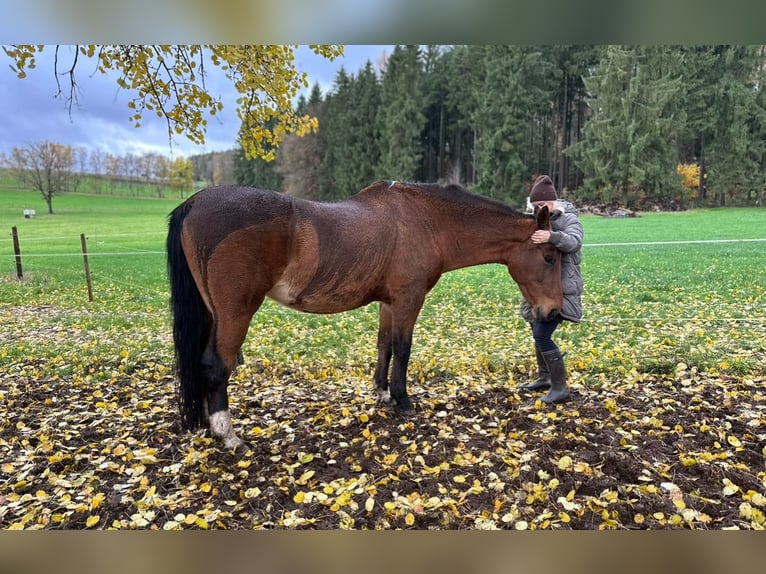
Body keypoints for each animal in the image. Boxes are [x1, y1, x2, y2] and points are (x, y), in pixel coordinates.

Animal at [168, 180, 564, 450]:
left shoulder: (389, 303)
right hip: (236, 312)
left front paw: (383, 394)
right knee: (216, 365)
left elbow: (384, 346)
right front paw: (403, 401)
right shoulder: (408, 299)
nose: (553, 310)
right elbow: (403, 349)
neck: (428, 222)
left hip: (213, 313)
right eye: (549, 257)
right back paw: (227, 434)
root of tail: (194, 202)